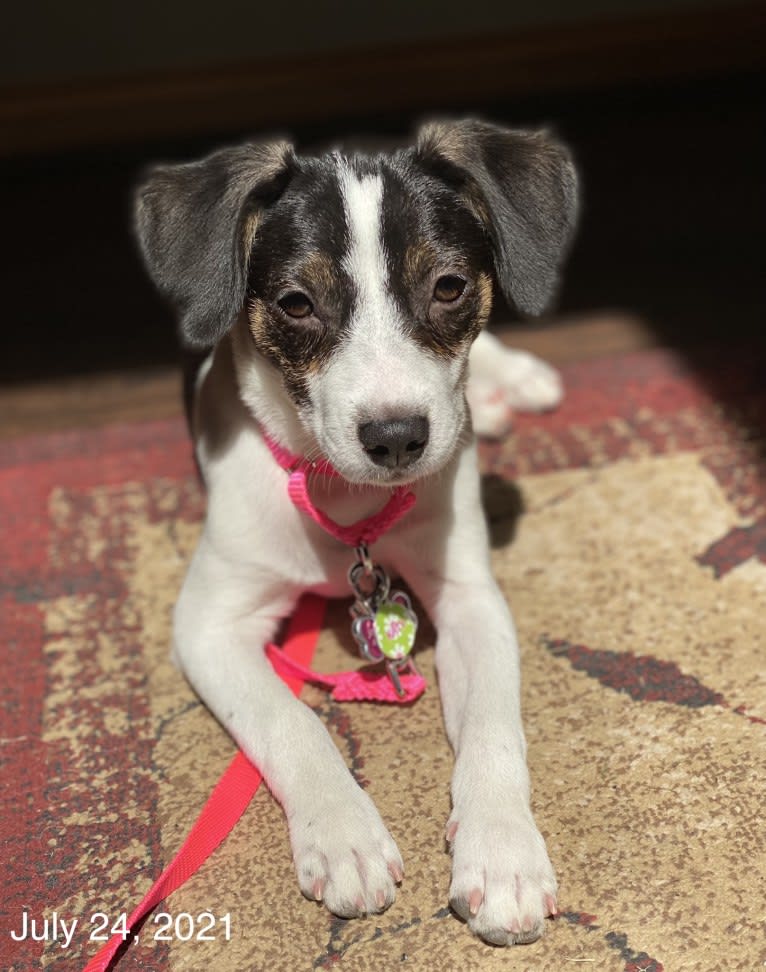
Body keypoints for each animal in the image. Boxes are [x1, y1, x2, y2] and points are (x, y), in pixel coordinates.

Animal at [135, 117, 580, 944]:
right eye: (296, 302)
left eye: (448, 286)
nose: (398, 437)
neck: (344, 503)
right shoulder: (208, 622)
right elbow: (289, 721)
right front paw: (343, 834)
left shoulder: (471, 594)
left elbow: (495, 726)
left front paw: (503, 851)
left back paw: (509, 383)